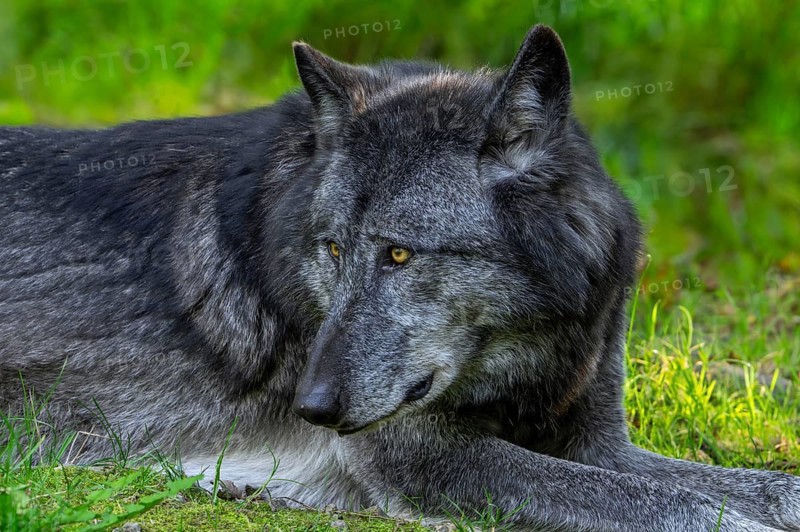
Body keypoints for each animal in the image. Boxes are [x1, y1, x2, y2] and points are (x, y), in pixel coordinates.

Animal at [0, 25, 798, 531]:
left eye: (400, 256)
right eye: (330, 250)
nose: (310, 407)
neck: (526, 351)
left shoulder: (599, 445)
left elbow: (760, 490)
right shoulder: (424, 457)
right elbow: (684, 509)